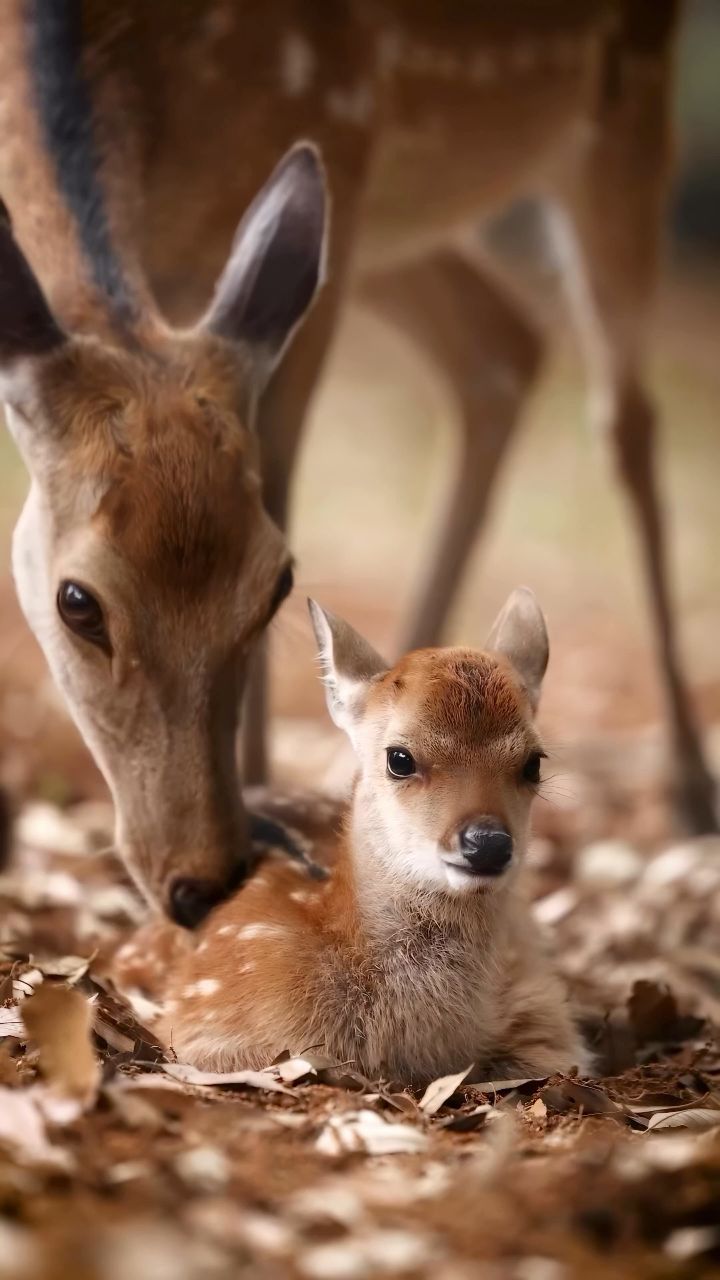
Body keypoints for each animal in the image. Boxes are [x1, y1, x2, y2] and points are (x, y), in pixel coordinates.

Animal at [0, 0, 707, 926]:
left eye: (278, 587)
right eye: (75, 603)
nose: (201, 881)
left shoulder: (340, 138)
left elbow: (281, 472)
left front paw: (266, 802)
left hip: (619, 116)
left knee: (624, 416)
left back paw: (691, 786)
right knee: (501, 347)